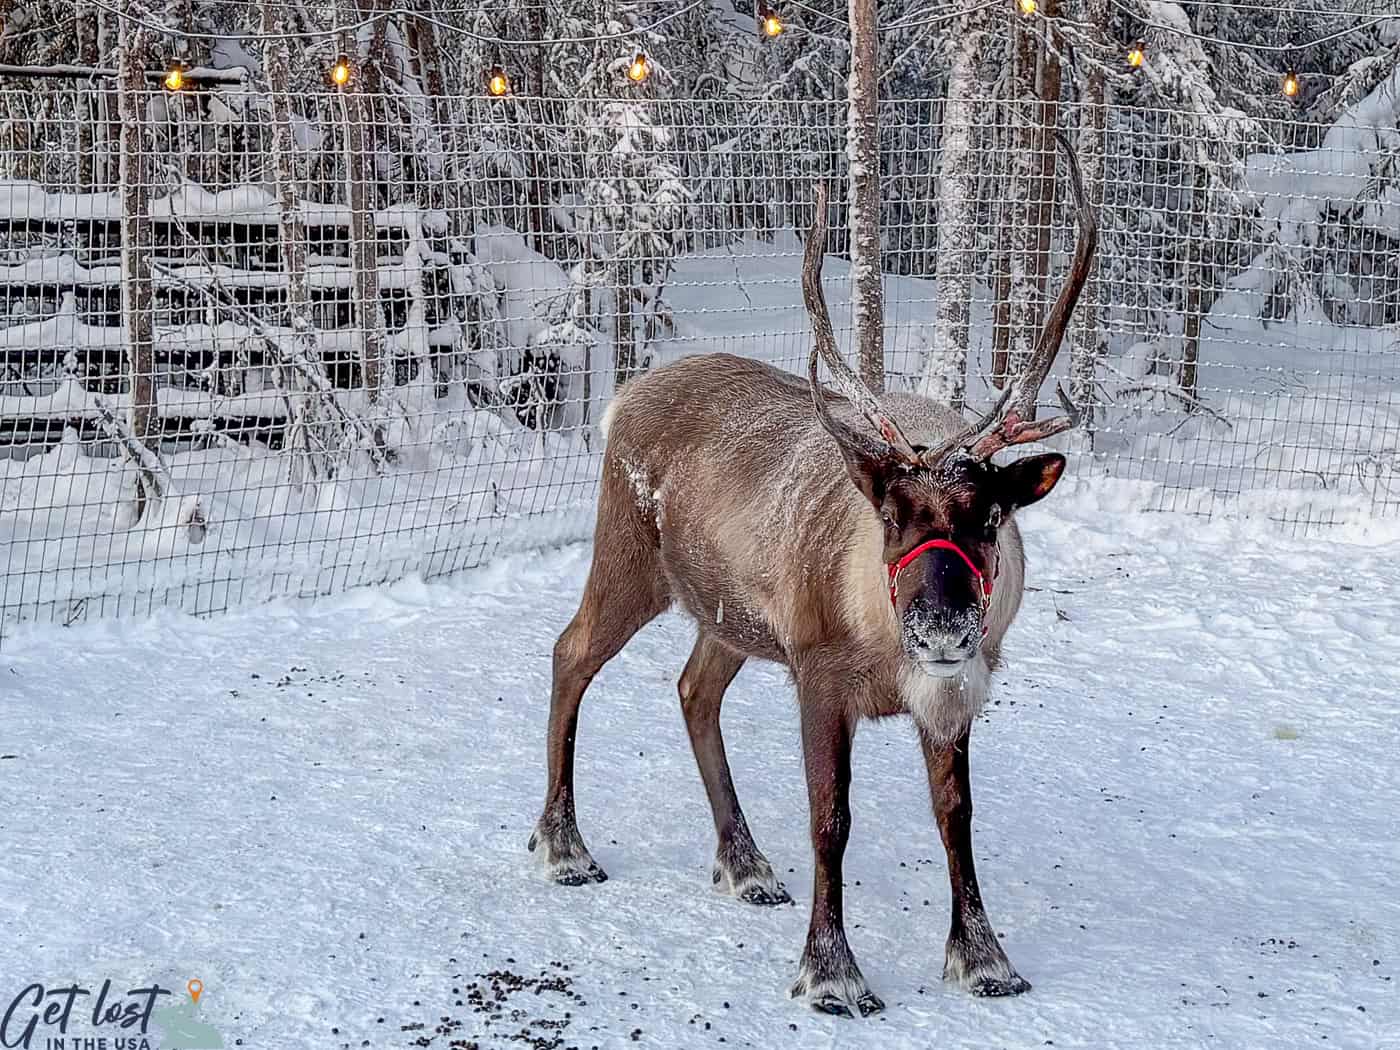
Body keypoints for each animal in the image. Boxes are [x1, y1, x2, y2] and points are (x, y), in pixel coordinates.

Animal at [528, 133, 1097, 1018]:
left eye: (991, 516)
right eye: (891, 516)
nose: (941, 629)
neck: (884, 642)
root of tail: (622, 397)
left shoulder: (956, 692)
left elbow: (956, 817)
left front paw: (984, 959)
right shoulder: (820, 676)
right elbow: (831, 819)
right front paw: (832, 973)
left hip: (725, 610)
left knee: (693, 690)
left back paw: (746, 865)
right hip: (629, 558)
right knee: (571, 651)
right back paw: (564, 848)